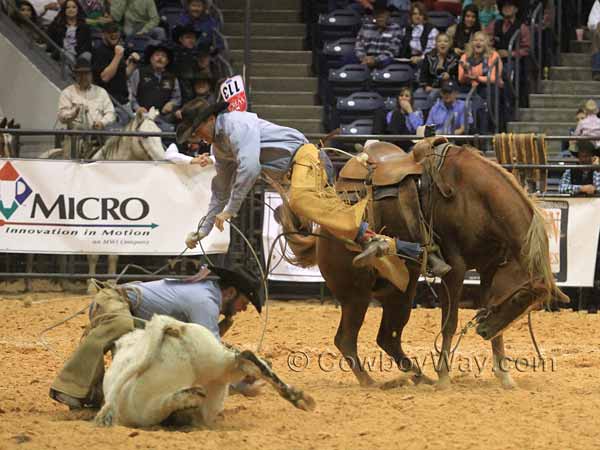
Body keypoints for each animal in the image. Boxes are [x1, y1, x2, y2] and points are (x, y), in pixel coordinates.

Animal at [276, 138, 568, 390]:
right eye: (520, 298)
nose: (483, 331)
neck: (475, 196)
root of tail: (323, 231)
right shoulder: (455, 269)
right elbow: (449, 323)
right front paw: (444, 377)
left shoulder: (490, 269)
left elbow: (490, 314)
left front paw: (505, 376)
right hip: (355, 294)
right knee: (347, 339)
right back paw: (373, 382)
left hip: (399, 291)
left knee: (387, 338)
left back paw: (418, 377)